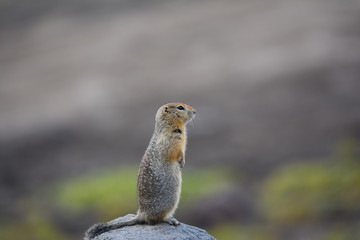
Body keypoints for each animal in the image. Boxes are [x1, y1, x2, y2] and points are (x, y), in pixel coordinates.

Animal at [85, 102, 197, 239]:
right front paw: (181, 162)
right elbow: (175, 153)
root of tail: (141, 214)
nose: (195, 111)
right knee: (154, 220)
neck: (167, 126)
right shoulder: (171, 140)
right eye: (180, 107)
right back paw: (170, 219)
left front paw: (183, 163)